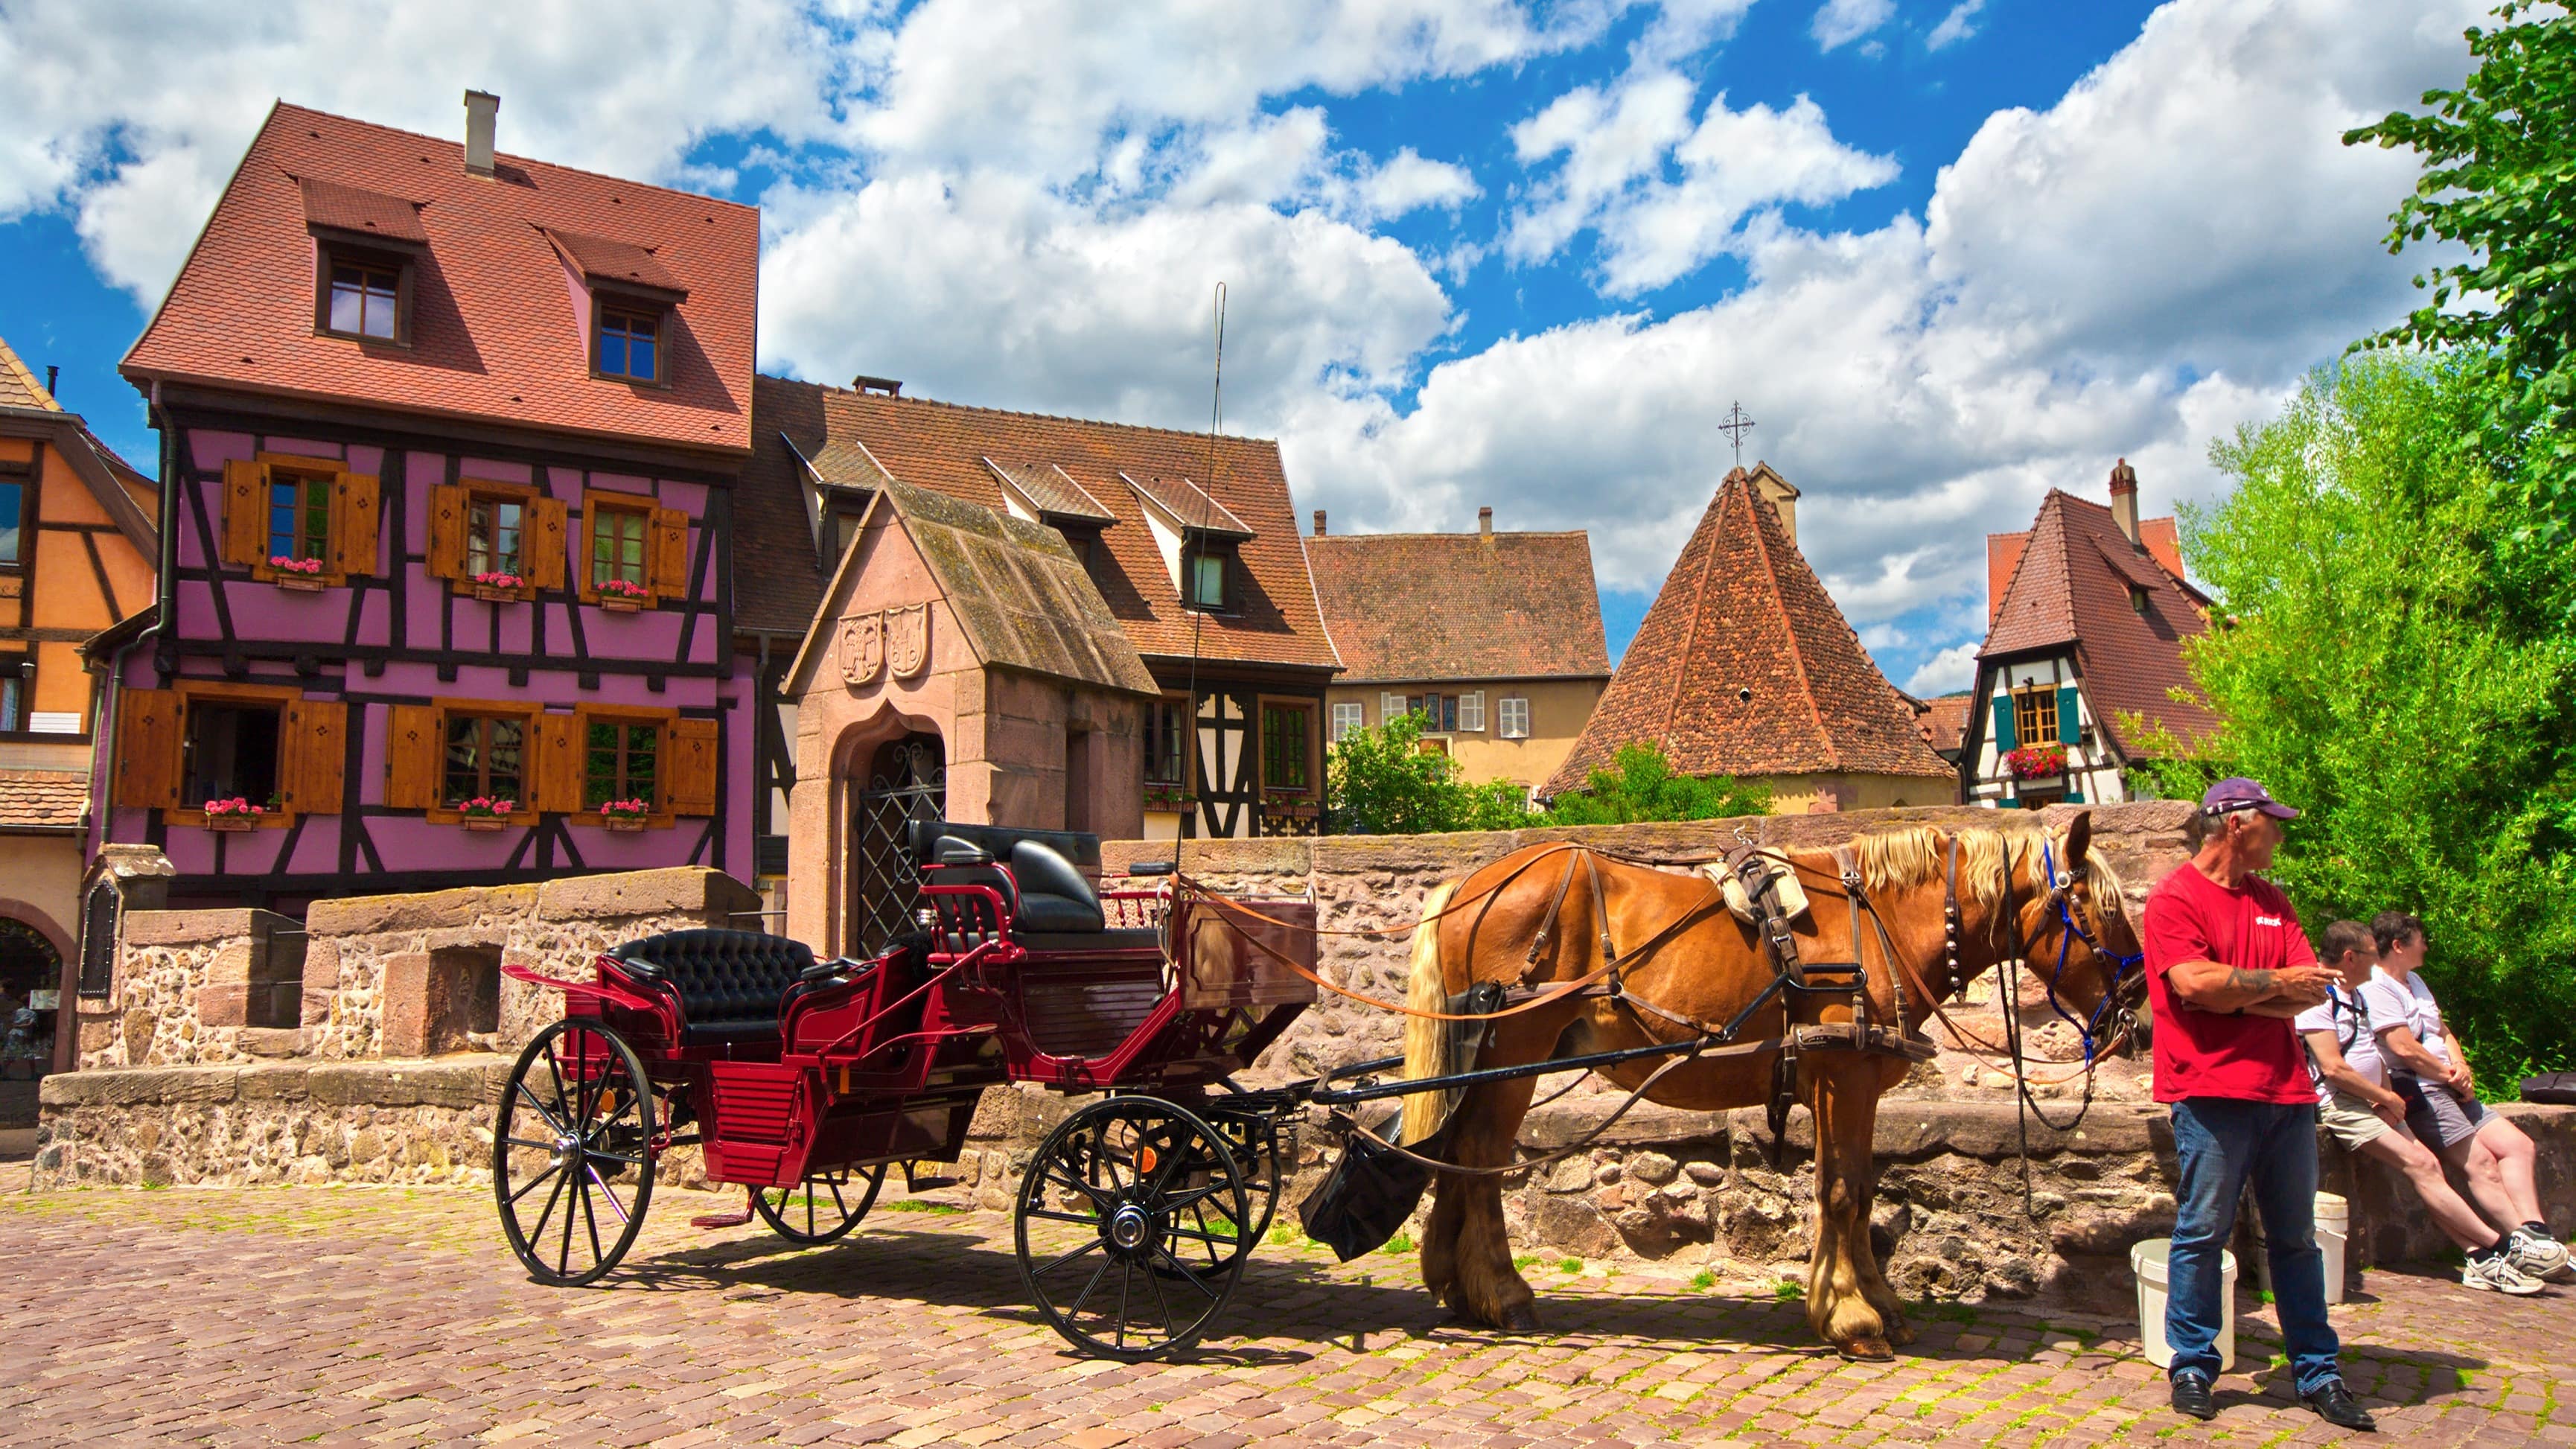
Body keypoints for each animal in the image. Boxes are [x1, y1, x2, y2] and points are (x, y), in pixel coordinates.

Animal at [1401, 815, 2143, 1351]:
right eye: (2103, 910)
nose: (2139, 1001)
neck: (1879, 922)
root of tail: (1467, 887)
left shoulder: (1853, 1084)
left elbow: (1860, 1192)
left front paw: (1875, 1304)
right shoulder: (1844, 1077)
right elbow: (1842, 1193)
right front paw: (1851, 1318)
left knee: (1454, 1151)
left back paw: (1455, 1282)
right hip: (1513, 1052)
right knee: (1480, 1157)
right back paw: (1503, 1292)